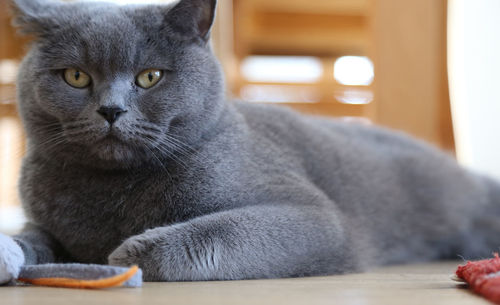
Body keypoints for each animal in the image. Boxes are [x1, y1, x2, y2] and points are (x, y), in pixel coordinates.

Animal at [0, 0, 500, 282]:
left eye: (150, 77)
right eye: (76, 76)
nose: (110, 110)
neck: (110, 193)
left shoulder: (314, 216)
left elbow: (218, 229)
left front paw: (129, 253)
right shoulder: (48, 223)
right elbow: (31, 236)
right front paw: (14, 252)